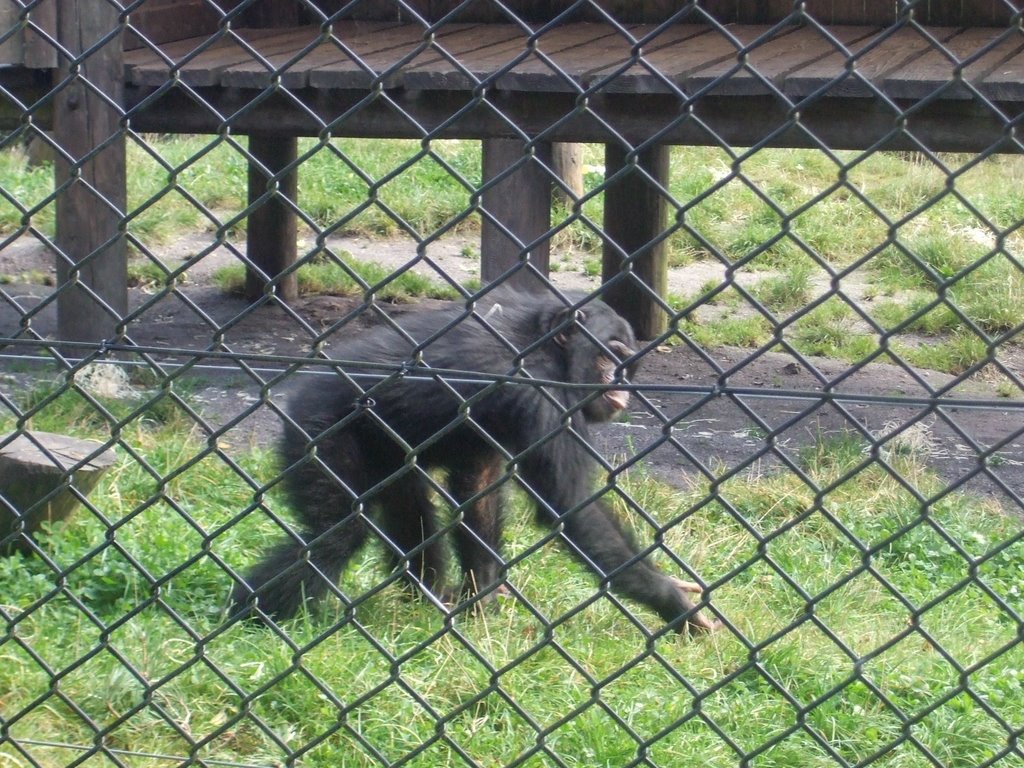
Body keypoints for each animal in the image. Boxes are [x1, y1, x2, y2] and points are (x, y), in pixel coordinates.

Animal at [228, 290, 716, 634]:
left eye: (625, 361)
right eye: (607, 354)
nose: (620, 385)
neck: (549, 349)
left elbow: (478, 489)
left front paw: (482, 602)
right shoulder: (538, 393)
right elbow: (572, 511)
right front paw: (673, 601)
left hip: (385, 457)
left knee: (410, 512)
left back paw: (427, 598)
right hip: (318, 434)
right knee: (335, 535)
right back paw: (249, 612)